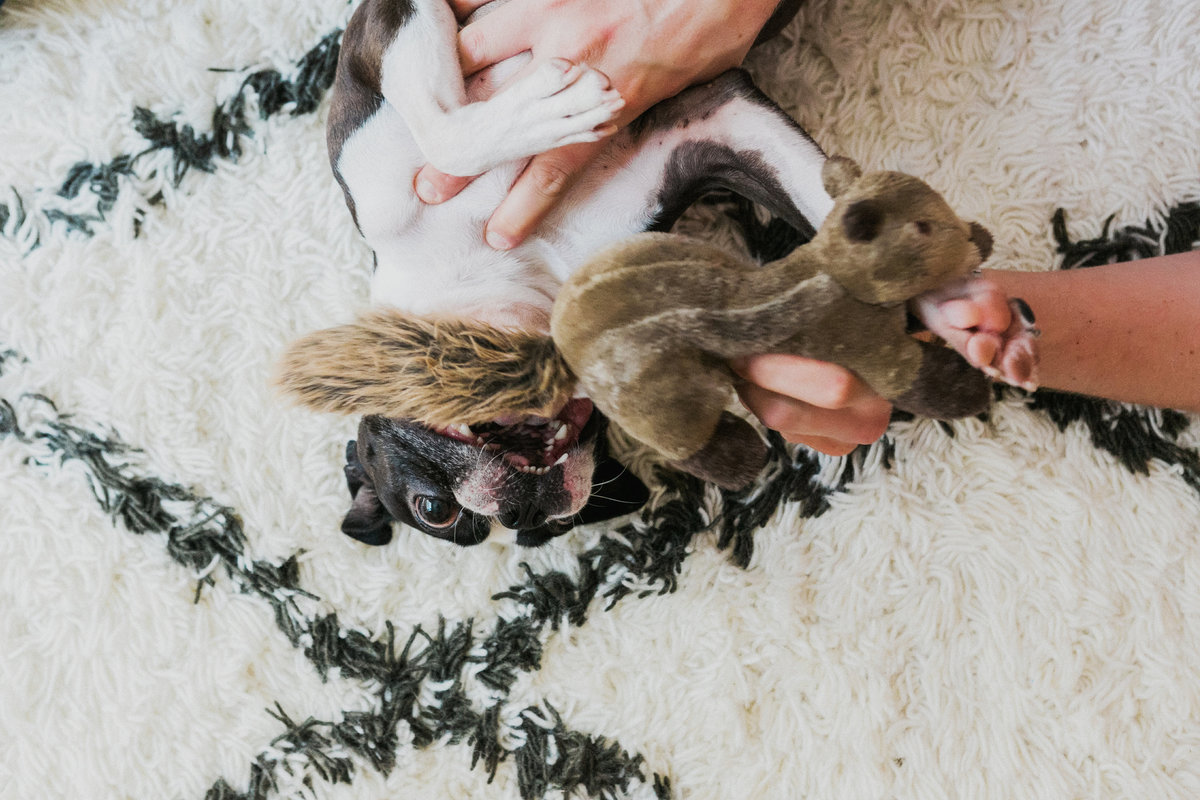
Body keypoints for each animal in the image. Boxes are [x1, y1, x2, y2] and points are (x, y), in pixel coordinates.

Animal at [278, 0, 1032, 546]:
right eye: (552, 530)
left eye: (428, 507)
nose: (526, 513)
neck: (502, 261)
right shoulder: (718, 122)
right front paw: (948, 308)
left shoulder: (380, 34)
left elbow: (445, 133)